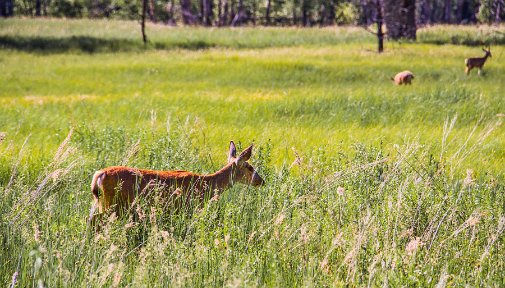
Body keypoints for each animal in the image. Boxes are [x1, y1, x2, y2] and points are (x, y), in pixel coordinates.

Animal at [89, 142, 264, 227]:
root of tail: (99, 175)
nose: (261, 180)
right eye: (249, 167)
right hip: (114, 204)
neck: (207, 184)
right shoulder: (190, 206)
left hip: (102, 202)